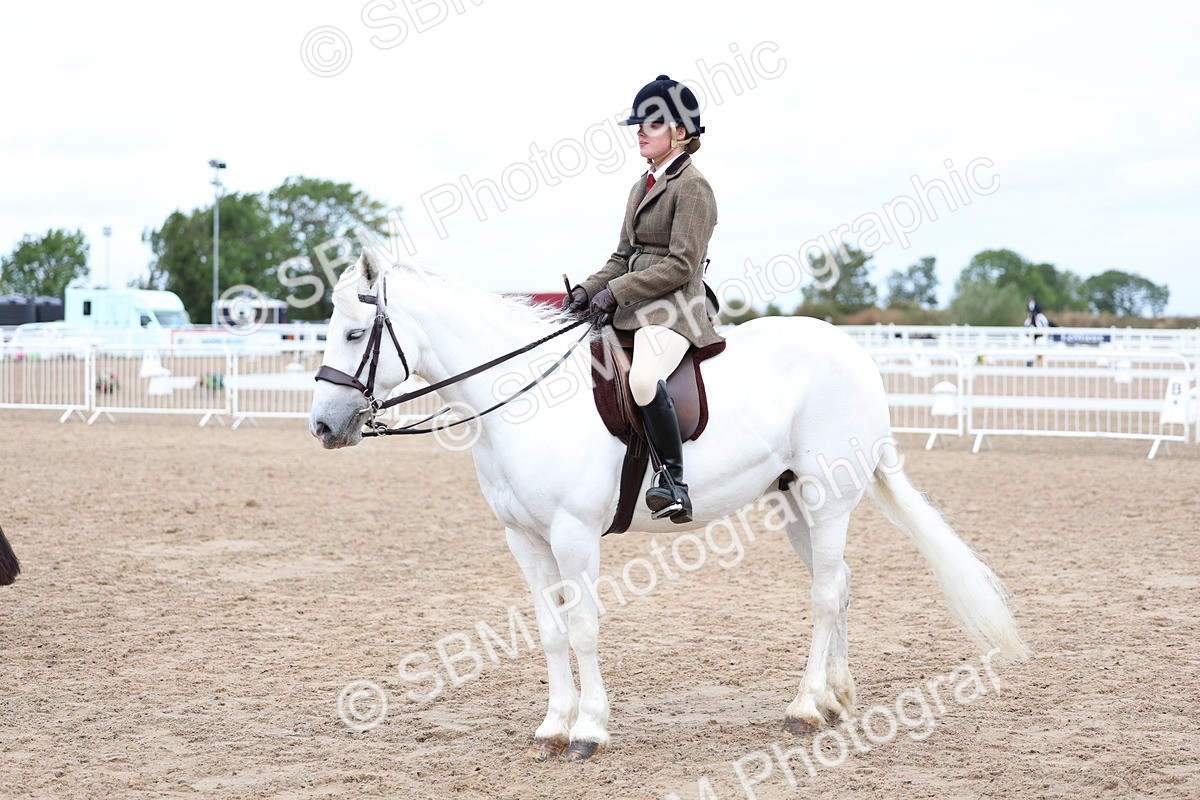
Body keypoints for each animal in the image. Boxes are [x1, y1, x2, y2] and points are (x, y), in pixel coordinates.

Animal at [309, 249, 1028, 762]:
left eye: (353, 333)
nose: (322, 426)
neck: (524, 398)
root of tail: (853, 352)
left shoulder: (573, 535)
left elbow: (583, 627)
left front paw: (589, 731)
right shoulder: (524, 537)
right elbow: (548, 630)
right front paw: (552, 726)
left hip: (828, 500)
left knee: (826, 595)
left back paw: (803, 709)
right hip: (795, 501)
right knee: (841, 585)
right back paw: (834, 700)